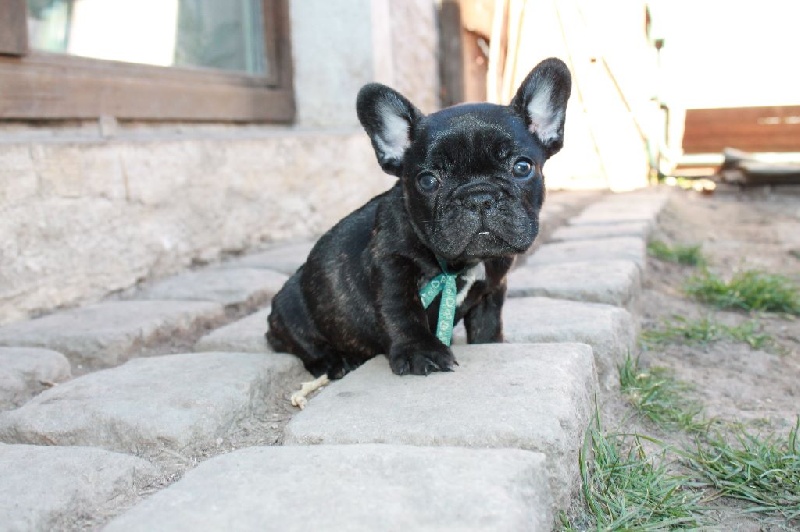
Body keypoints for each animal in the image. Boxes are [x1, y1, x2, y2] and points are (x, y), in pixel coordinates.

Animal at [268, 57, 568, 378]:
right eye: (427, 181)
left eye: (522, 167)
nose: (478, 197)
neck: (464, 264)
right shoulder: (392, 264)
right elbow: (402, 311)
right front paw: (420, 352)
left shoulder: (492, 288)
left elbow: (488, 324)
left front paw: (491, 344)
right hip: (291, 307)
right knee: (301, 344)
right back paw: (333, 361)